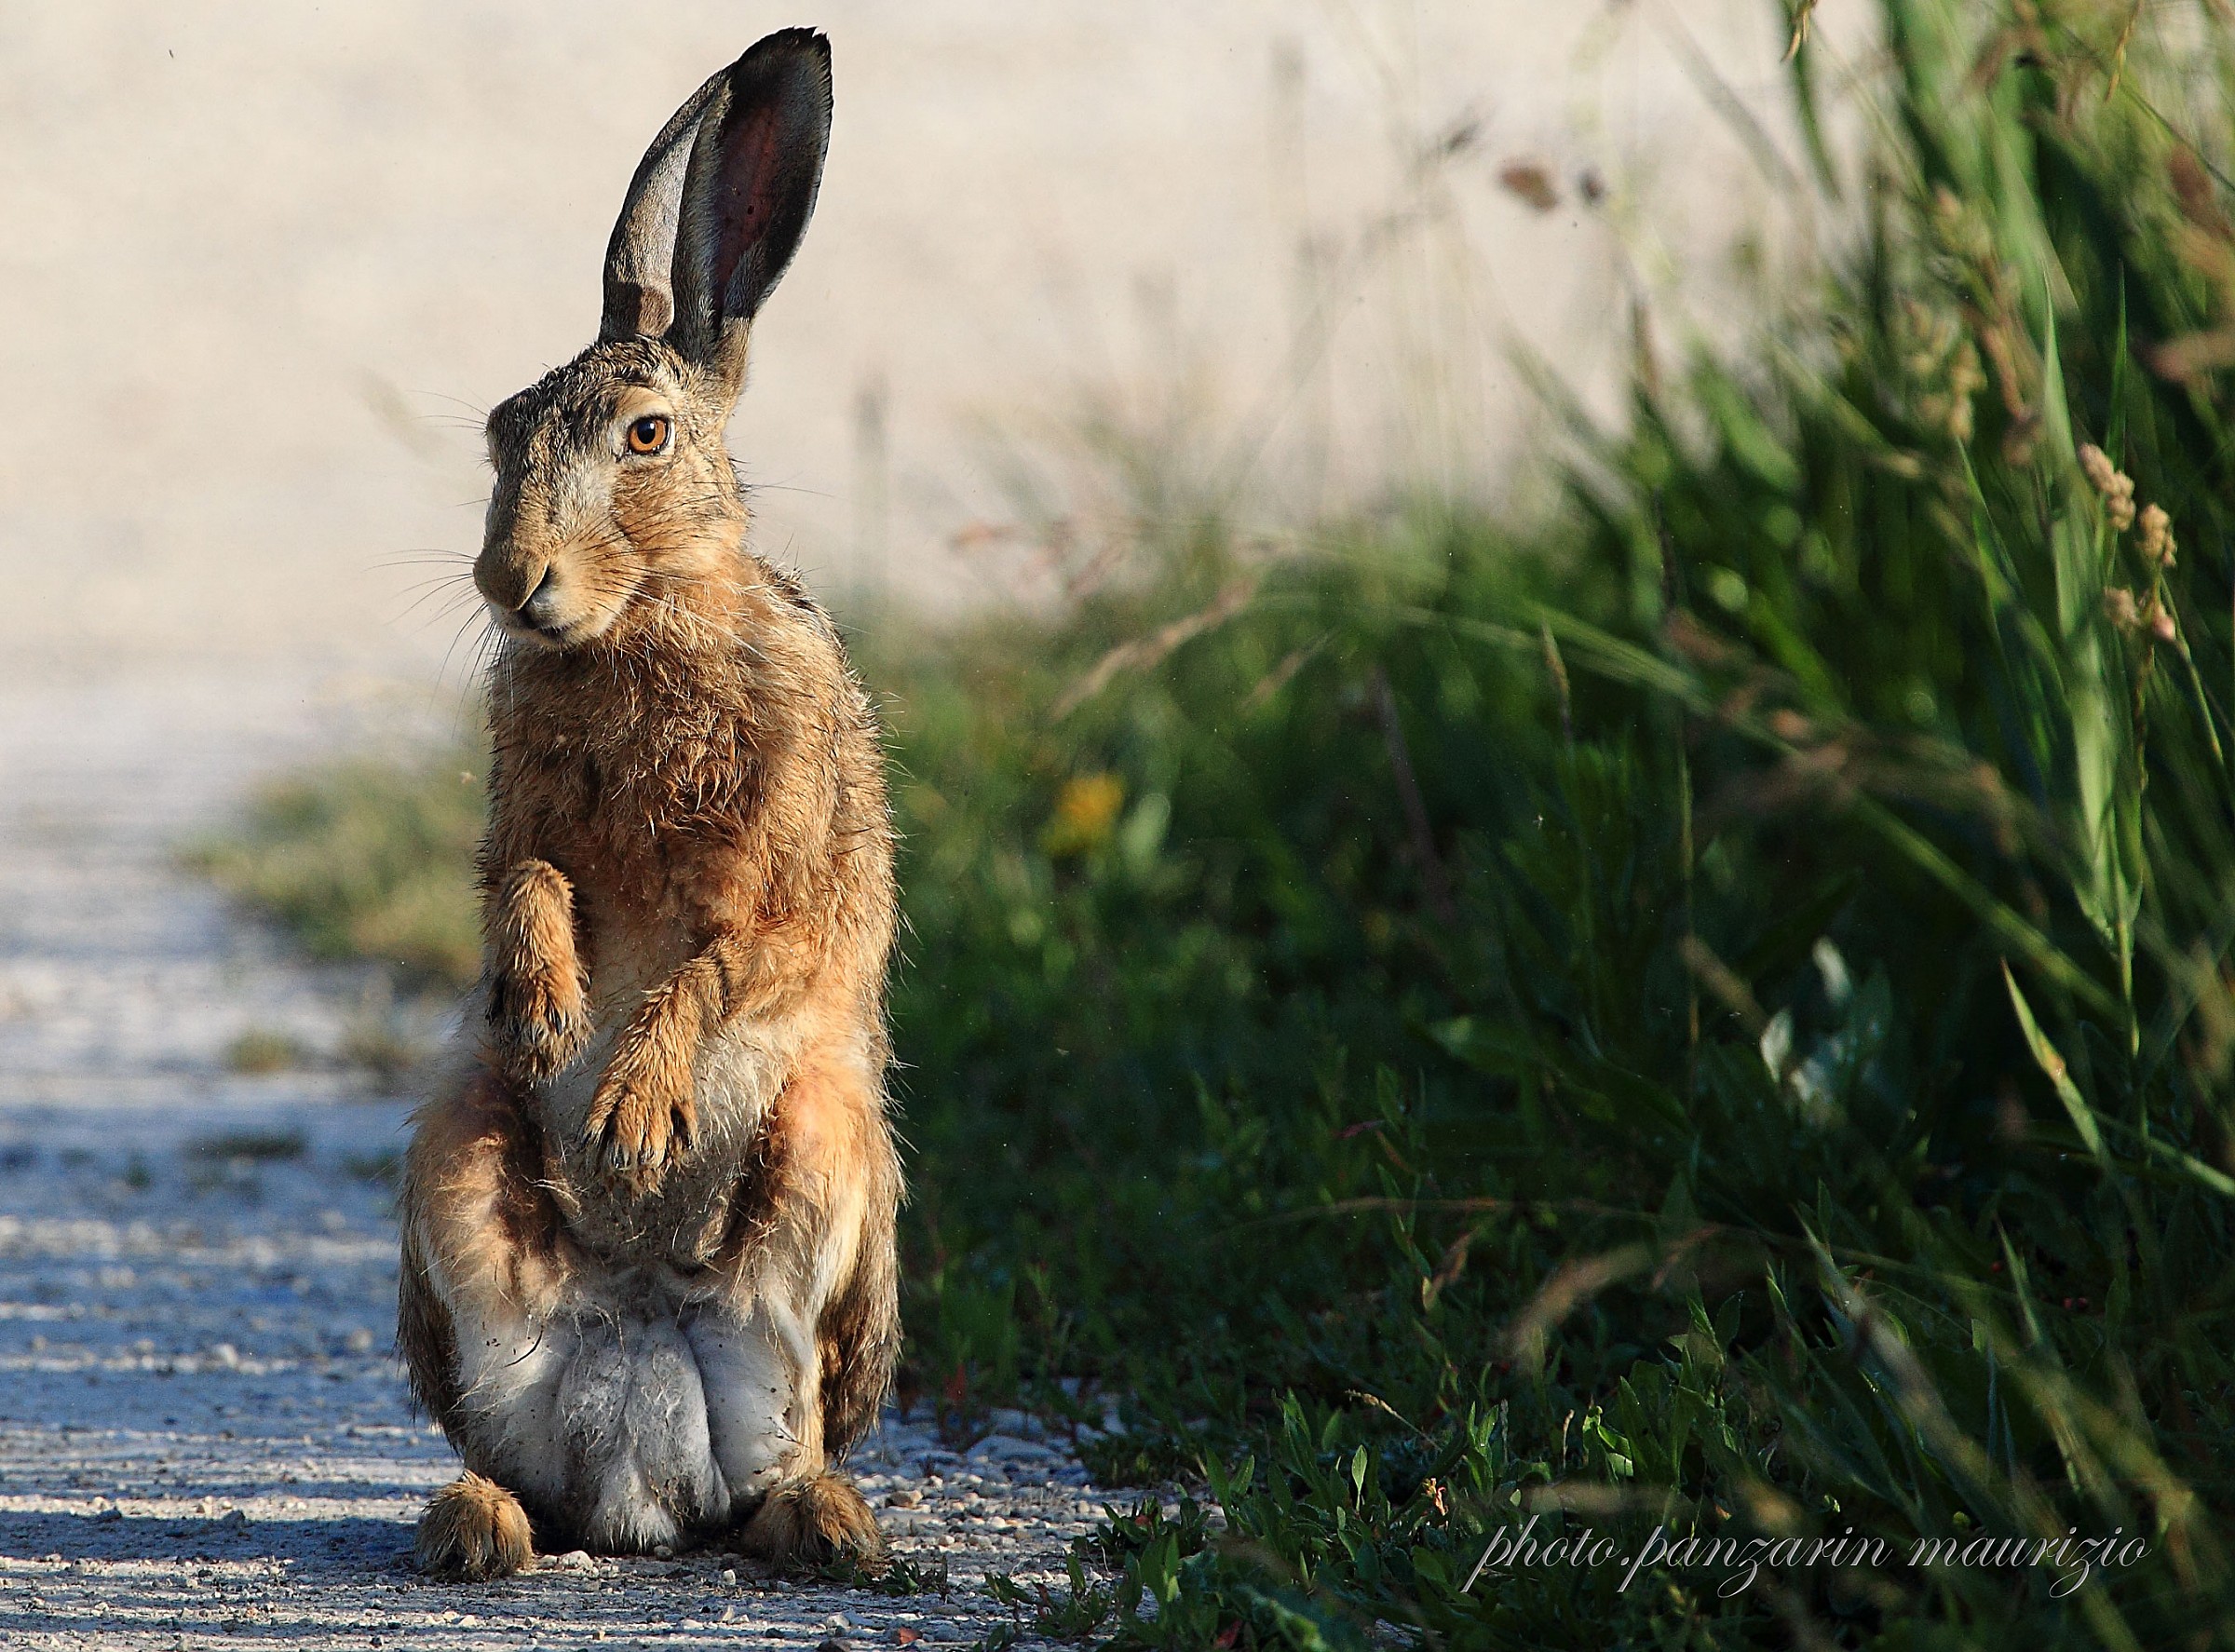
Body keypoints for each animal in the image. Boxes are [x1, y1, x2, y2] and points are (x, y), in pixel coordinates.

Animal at [395, 28, 902, 1582]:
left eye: (646, 435)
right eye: (504, 431)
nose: (514, 582)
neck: (640, 621)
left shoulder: (802, 896)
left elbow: (723, 962)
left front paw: (628, 1109)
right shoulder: (522, 825)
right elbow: (529, 882)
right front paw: (551, 1011)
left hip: (825, 1152)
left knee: (787, 1452)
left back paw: (835, 1524)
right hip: (453, 1162)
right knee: (512, 1459)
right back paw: (474, 1525)